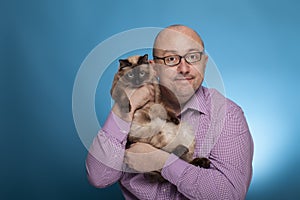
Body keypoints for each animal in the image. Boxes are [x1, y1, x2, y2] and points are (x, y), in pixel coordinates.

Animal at [110, 54, 211, 182]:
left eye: (141, 74)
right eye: (130, 75)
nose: (137, 81)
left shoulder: (157, 95)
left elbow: (163, 109)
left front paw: (174, 119)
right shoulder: (117, 88)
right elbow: (123, 96)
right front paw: (127, 108)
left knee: (184, 160)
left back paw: (203, 162)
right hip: (151, 136)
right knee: (168, 155)